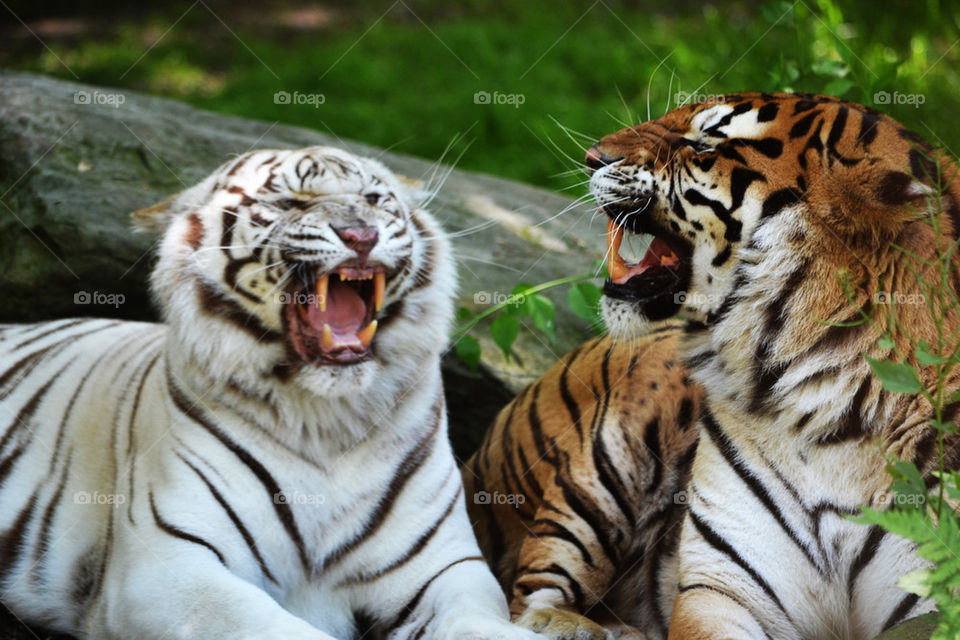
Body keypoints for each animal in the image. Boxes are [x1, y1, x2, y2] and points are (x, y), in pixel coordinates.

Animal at [0, 146, 544, 640]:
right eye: (288, 203)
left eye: (374, 199)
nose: (362, 236)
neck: (329, 419)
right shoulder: (167, 567)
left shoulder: (446, 567)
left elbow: (483, 622)